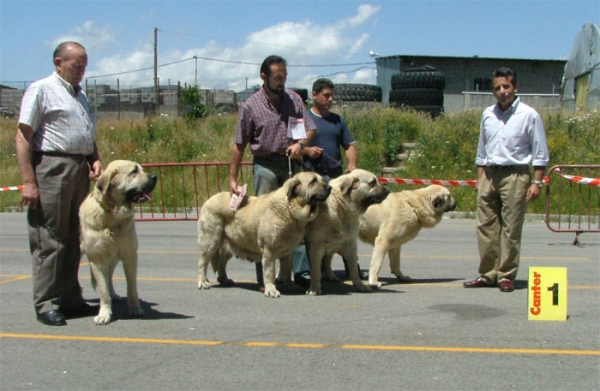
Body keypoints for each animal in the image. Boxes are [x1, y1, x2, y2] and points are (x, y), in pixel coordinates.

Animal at [78, 161, 156, 326]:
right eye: (134, 171)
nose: (155, 177)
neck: (113, 215)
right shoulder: (97, 259)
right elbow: (103, 290)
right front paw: (104, 314)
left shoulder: (130, 256)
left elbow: (131, 286)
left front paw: (135, 309)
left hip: (113, 258)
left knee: (109, 276)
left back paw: (113, 294)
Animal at [197, 173, 330, 298]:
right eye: (313, 181)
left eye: (321, 179)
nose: (329, 187)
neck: (289, 208)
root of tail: (208, 200)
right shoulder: (269, 250)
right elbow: (269, 272)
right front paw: (271, 290)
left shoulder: (288, 251)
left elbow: (287, 270)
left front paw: (290, 286)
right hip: (211, 240)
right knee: (202, 261)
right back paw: (203, 282)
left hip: (230, 244)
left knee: (221, 261)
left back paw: (224, 279)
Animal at [308, 169, 392, 298]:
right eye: (372, 182)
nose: (388, 191)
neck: (341, 206)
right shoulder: (316, 246)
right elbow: (316, 270)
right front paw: (314, 288)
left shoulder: (351, 245)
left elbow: (353, 268)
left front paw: (360, 285)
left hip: (334, 244)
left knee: (328, 260)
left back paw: (331, 276)